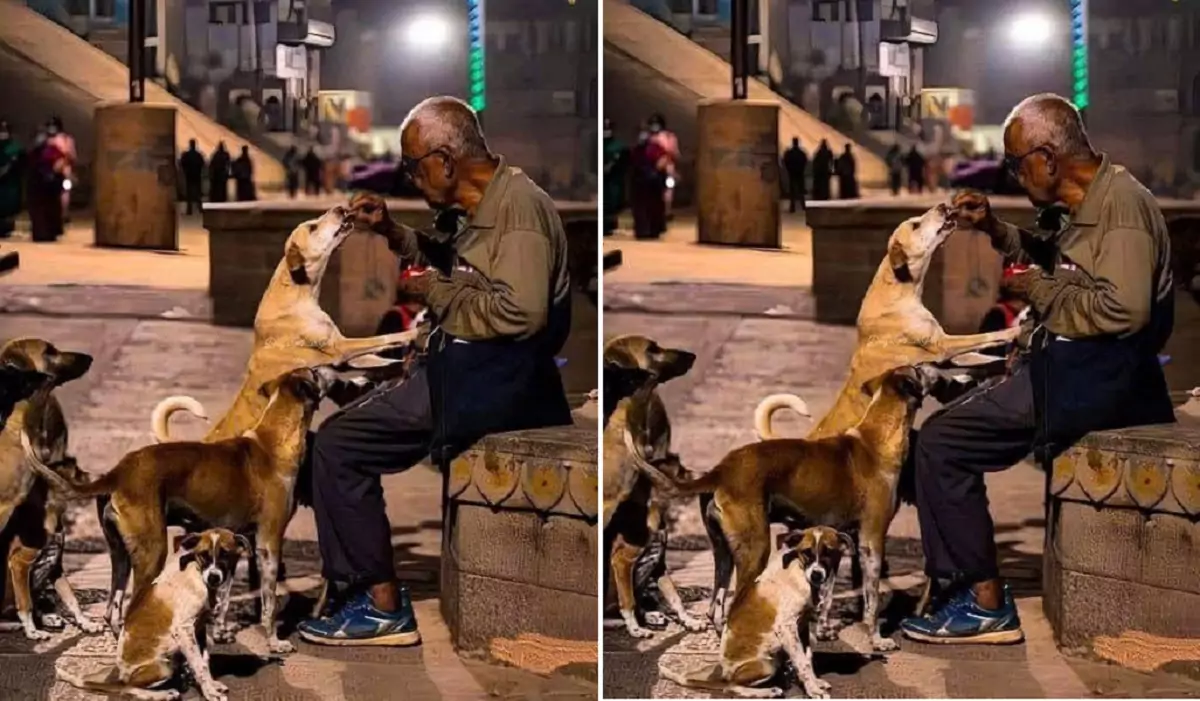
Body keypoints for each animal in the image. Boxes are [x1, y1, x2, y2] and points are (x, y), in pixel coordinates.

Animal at [56, 525, 248, 701]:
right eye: (203, 555)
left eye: (225, 554)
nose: (213, 578)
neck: (198, 574)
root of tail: (120, 676)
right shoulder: (184, 629)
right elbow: (198, 664)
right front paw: (210, 693)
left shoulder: (199, 627)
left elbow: (204, 661)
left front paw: (212, 685)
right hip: (164, 667)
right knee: (128, 689)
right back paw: (163, 694)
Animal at [657, 525, 854, 701]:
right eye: (807, 552)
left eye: (829, 552)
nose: (816, 575)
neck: (799, 571)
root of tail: (723, 675)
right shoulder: (787, 627)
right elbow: (802, 662)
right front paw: (813, 690)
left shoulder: (803, 626)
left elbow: (807, 657)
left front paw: (815, 683)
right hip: (767, 664)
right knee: (732, 688)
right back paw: (767, 692)